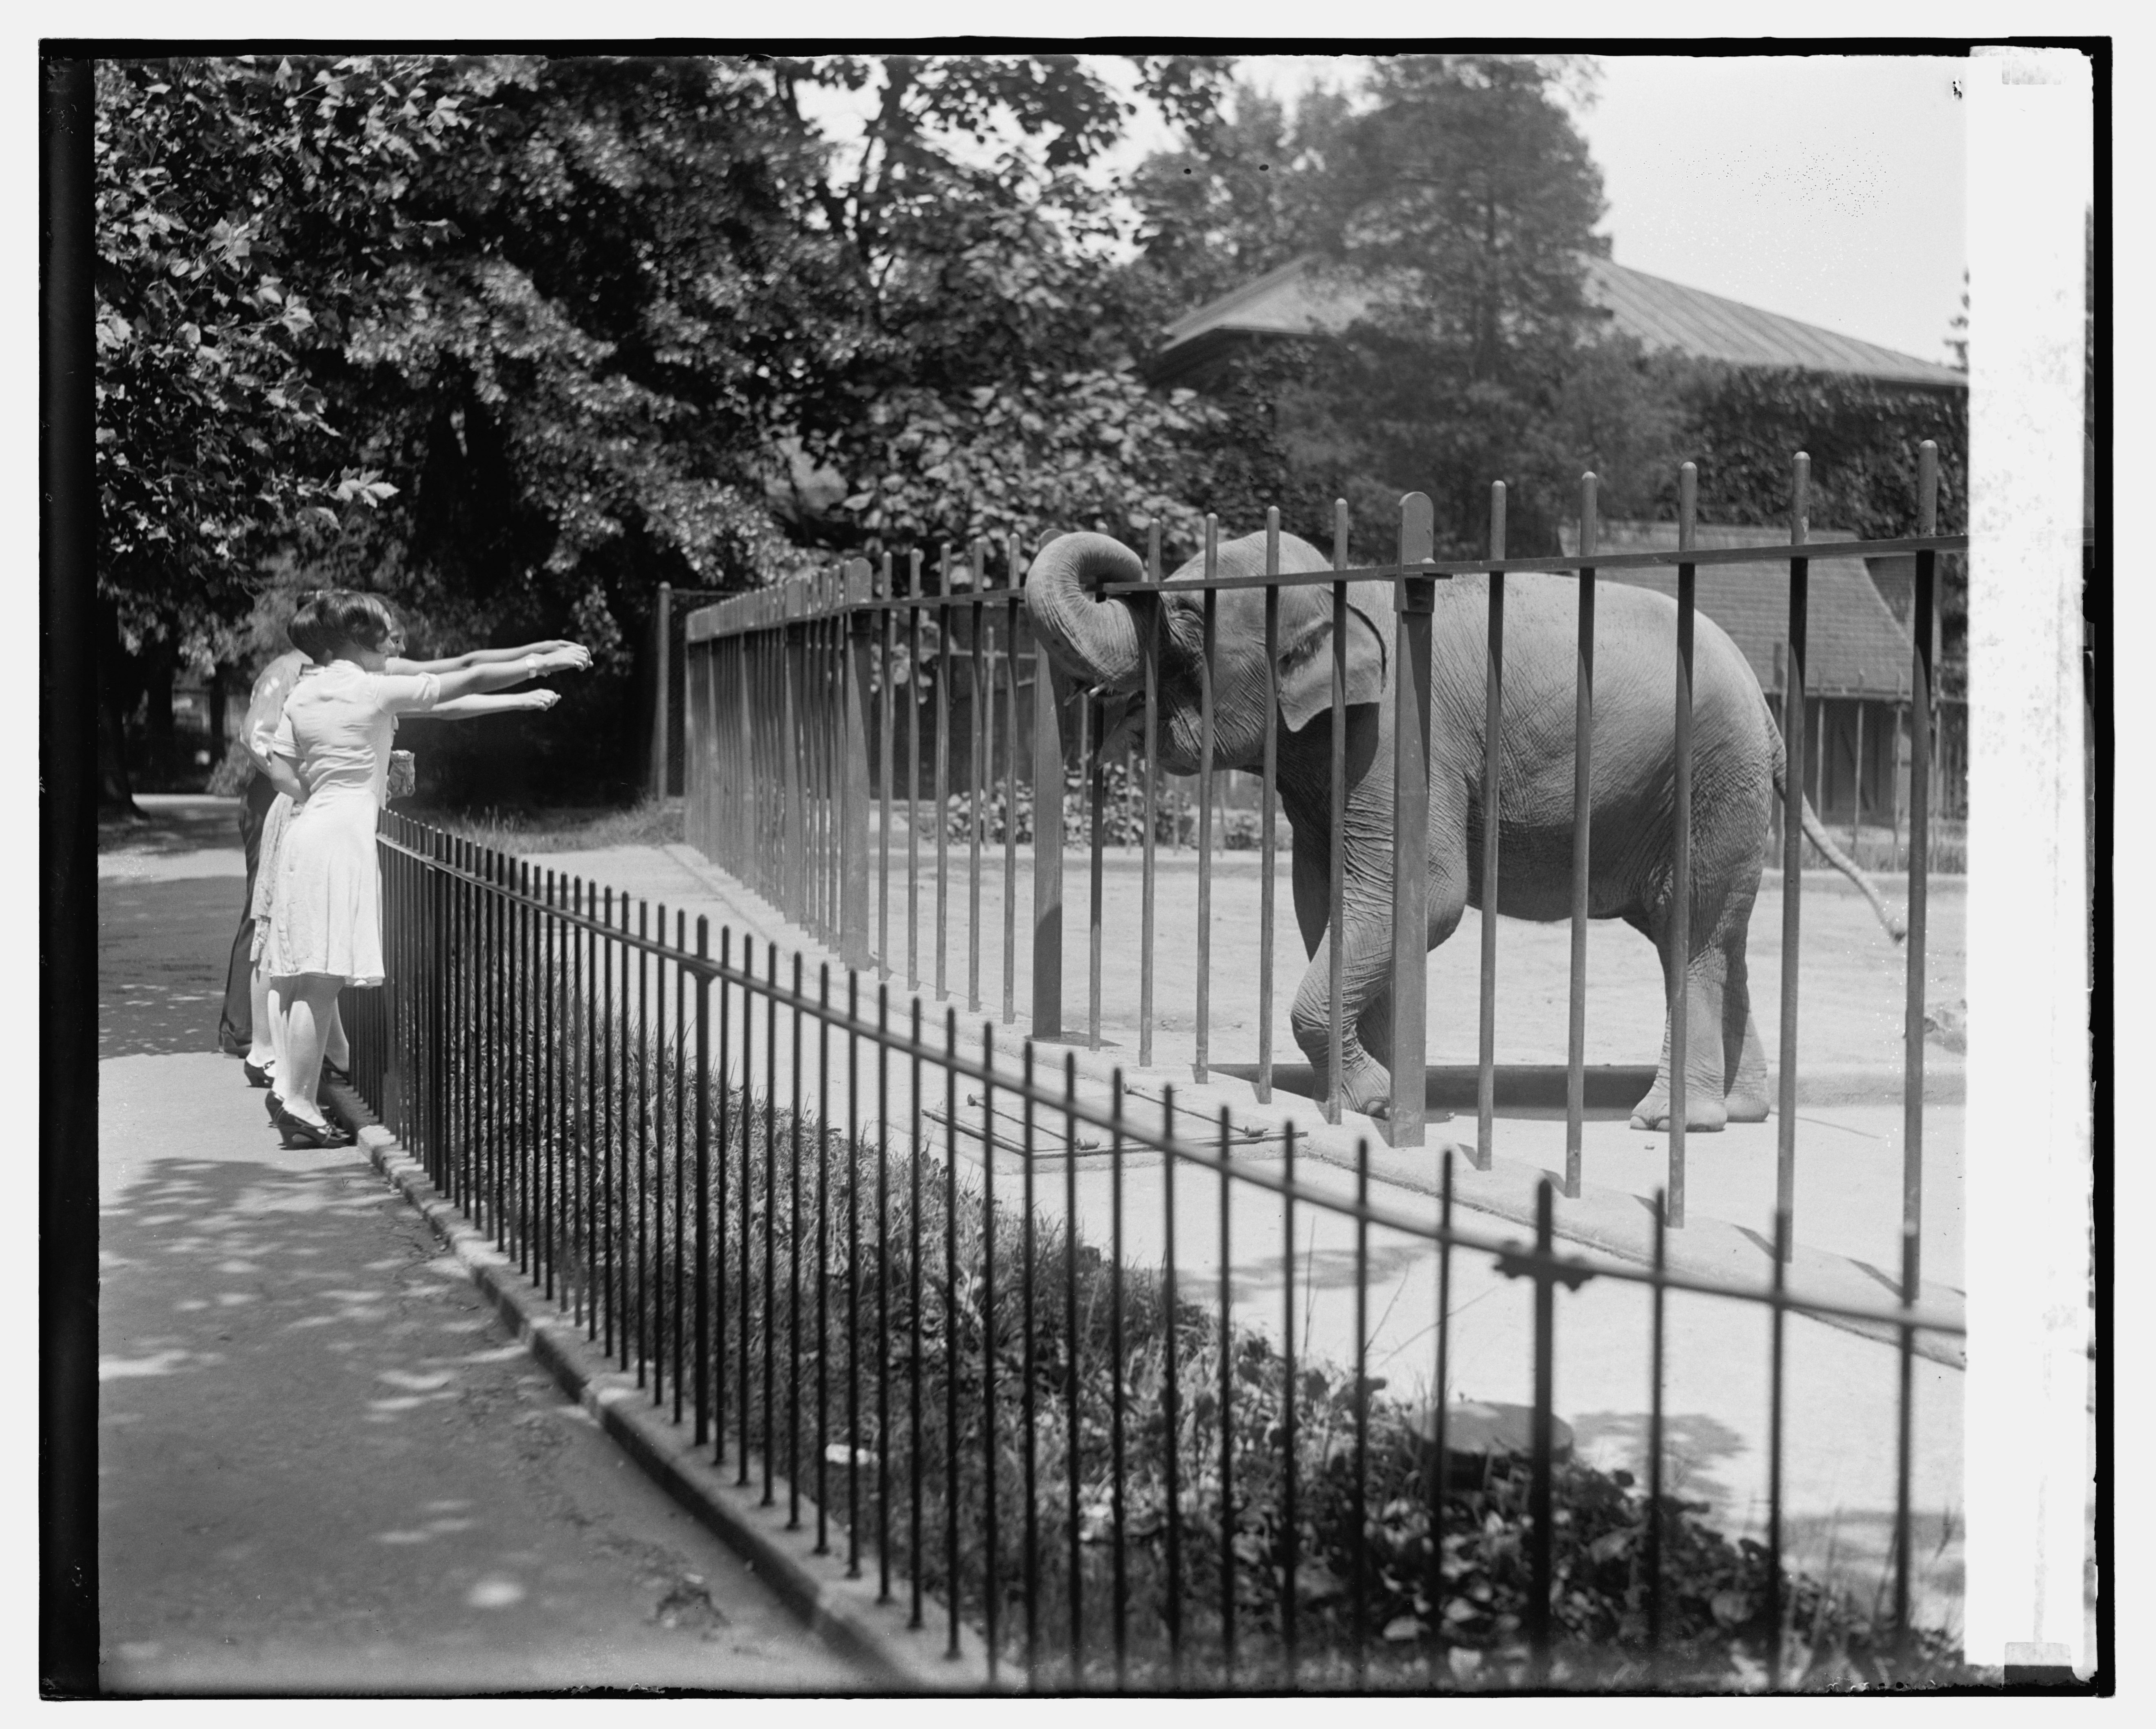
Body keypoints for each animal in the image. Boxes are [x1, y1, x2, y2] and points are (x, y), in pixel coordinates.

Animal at [1026, 519, 1906, 1121]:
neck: (1353, 591)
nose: (1119, 574)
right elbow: (1328, 899)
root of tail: (1770, 715)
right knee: (1713, 937)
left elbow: (1430, 894)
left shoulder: (1401, 744)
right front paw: (1386, 1095)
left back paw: (1667, 1121)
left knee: (1692, 933)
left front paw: (1375, 1099)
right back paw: (1743, 1112)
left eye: (1187, 617)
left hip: (1713, 775)